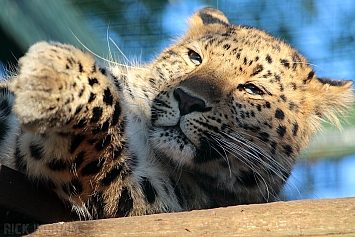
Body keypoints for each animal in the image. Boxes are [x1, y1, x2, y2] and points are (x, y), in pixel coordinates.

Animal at [0, 7, 355, 220]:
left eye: (251, 89)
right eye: (195, 57)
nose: (187, 99)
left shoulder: (135, 195)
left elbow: (103, 110)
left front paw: (49, 77)